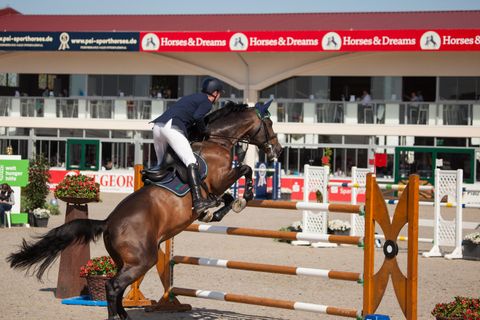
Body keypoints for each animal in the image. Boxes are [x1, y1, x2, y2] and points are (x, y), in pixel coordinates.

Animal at [6, 101, 282, 320]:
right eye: (269, 124)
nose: (278, 151)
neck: (217, 141)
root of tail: (108, 222)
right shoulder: (219, 179)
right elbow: (245, 170)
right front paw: (244, 198)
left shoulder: (215, 188)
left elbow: (225, 198)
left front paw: (214, 212)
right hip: (142, 259)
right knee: (113, 287)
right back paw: (117, 317)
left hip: (126, 260)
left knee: (116, 287)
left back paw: (124, 315)